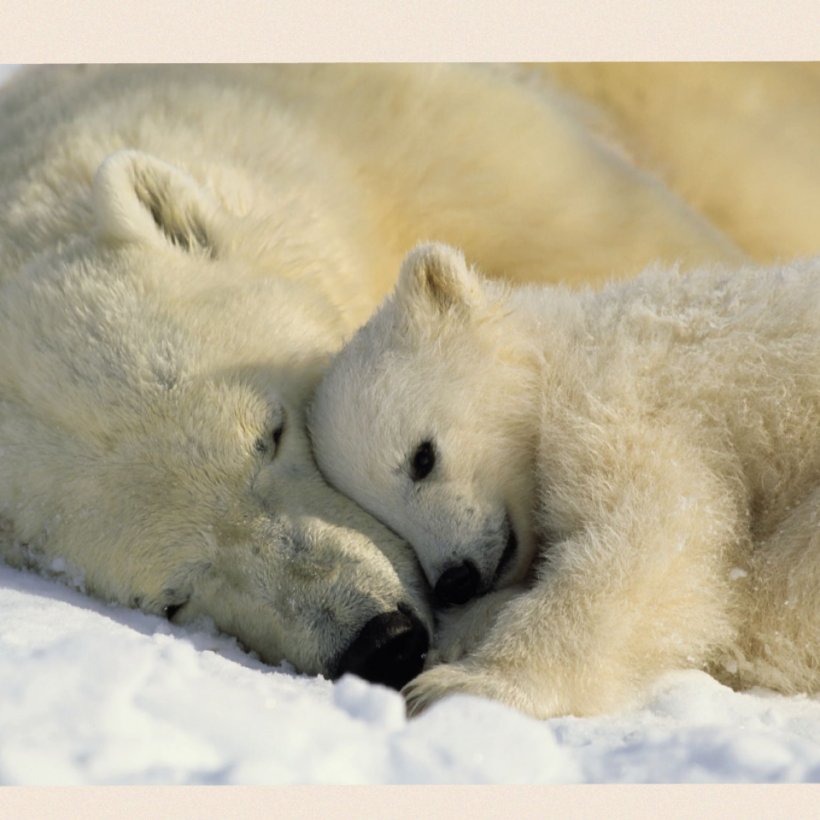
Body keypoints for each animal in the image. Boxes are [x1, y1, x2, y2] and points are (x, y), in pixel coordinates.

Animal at [308, 243, 820, 716]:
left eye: (422, 458)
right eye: (383, 519)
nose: (455, 580)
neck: (567, 349)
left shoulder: (625, 400)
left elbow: (648, 541)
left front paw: (458, 685)